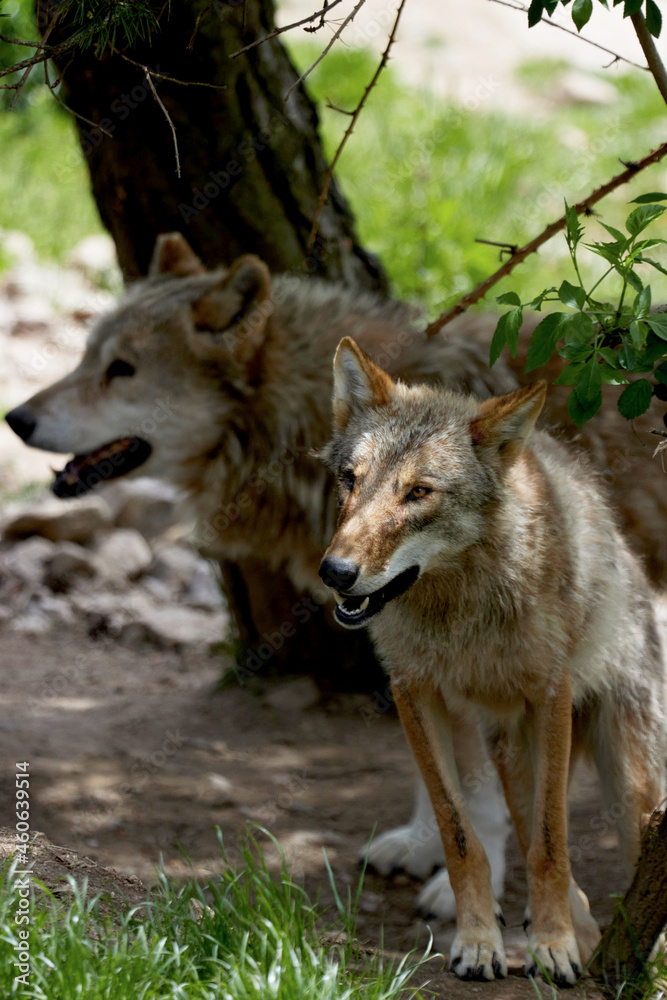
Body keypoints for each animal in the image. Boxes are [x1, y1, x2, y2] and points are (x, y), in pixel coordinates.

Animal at [320, 338, 667, 984]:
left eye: (419, 492)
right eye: (350, 480)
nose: (336, 573)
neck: (459, 612)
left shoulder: (550, 692)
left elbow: (551, 843)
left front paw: (553, 943)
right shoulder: (413, 692)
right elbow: (462, 835)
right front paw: (480, 941)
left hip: (627, 778)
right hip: (506, 746)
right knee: (514, 823)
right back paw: (572, 927)